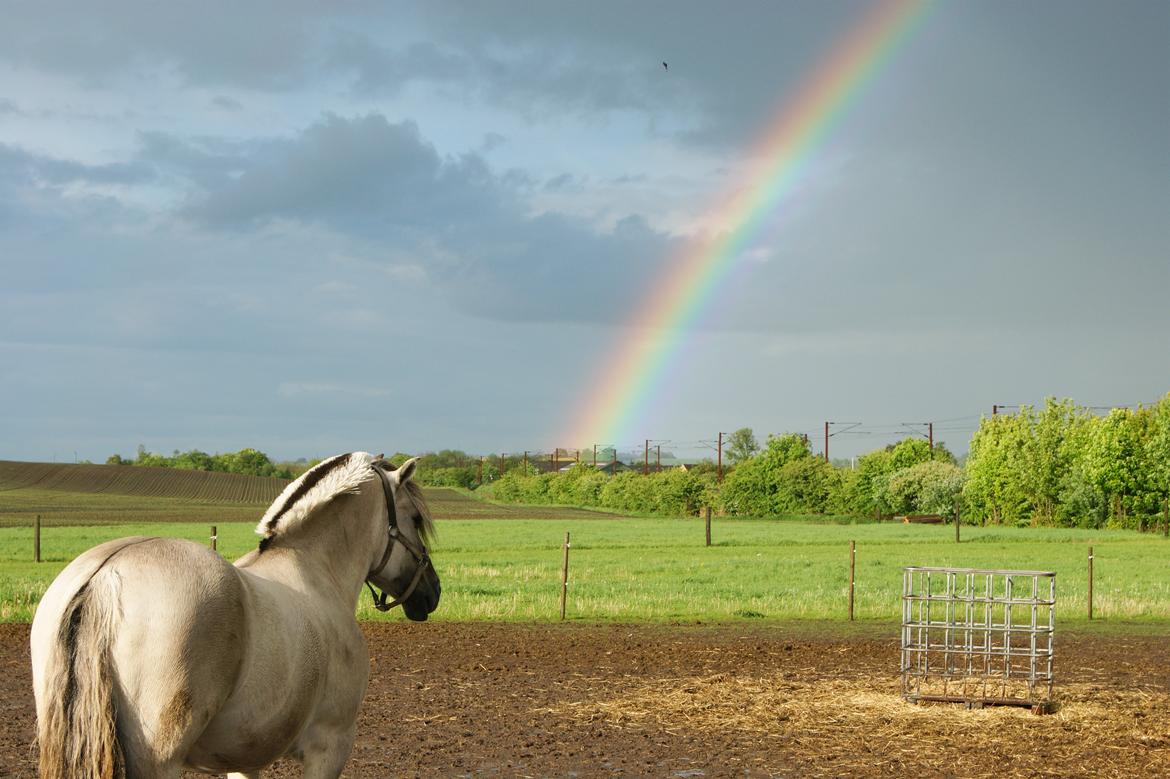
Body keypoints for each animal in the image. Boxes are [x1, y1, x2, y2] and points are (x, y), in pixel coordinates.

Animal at [29, 451, 439, 771]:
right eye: (415, 519)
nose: (432, 591)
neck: (314, 568)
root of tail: (105, 574)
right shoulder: (330, 746)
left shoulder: (244, 759)